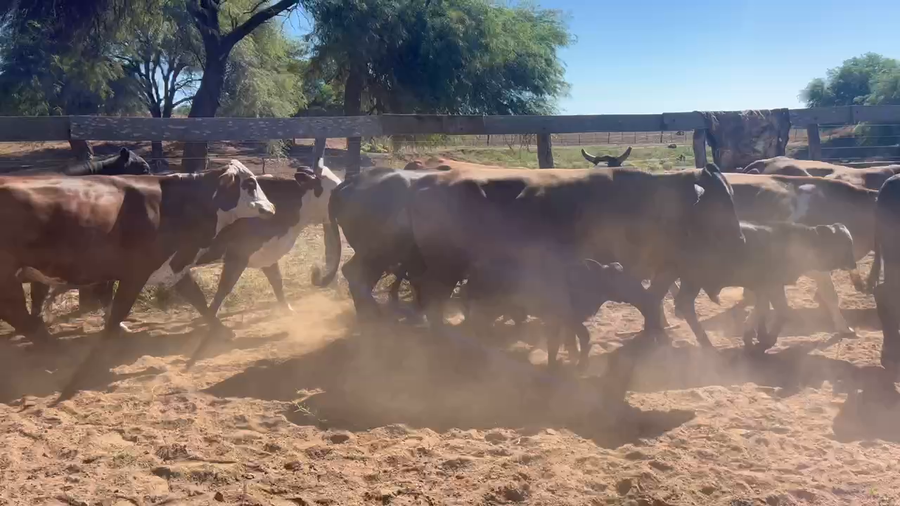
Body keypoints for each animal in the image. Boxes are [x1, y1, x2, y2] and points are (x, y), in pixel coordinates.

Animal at [0, 160, 275, 343]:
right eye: (250, 184)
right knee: (15, 311)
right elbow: (120, 308)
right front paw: (111, 335)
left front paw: (221, 329)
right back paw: (48, 342)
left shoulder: (174, 263)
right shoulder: (136, 272)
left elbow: (197, 298)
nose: (271, 208)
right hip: (8, 275)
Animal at [406, 163, 745, 338]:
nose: (741, 241)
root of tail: (426, 184)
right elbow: (647, 299)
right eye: (718, 205)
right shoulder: (627, 266)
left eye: (732, 197)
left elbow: (653, 298)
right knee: (432, 294)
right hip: (447, 266)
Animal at [465, 257, 659, 369]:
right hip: (489, 306)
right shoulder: (562, 318)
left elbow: (569, 340)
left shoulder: (565, 321)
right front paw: (577, 364)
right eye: (618, 277)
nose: (641, 292)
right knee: (477, 323)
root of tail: (475, 270)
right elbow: (568, 340)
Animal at [674, 221, 857, 350]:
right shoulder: (771, 285)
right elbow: (781, 311)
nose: (854, 265)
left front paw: (754, 335)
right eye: (848, 244)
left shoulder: (766, 287)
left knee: (682, 303)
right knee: (683, 304)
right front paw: (766, 339)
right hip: (691, 281)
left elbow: (763, 308)